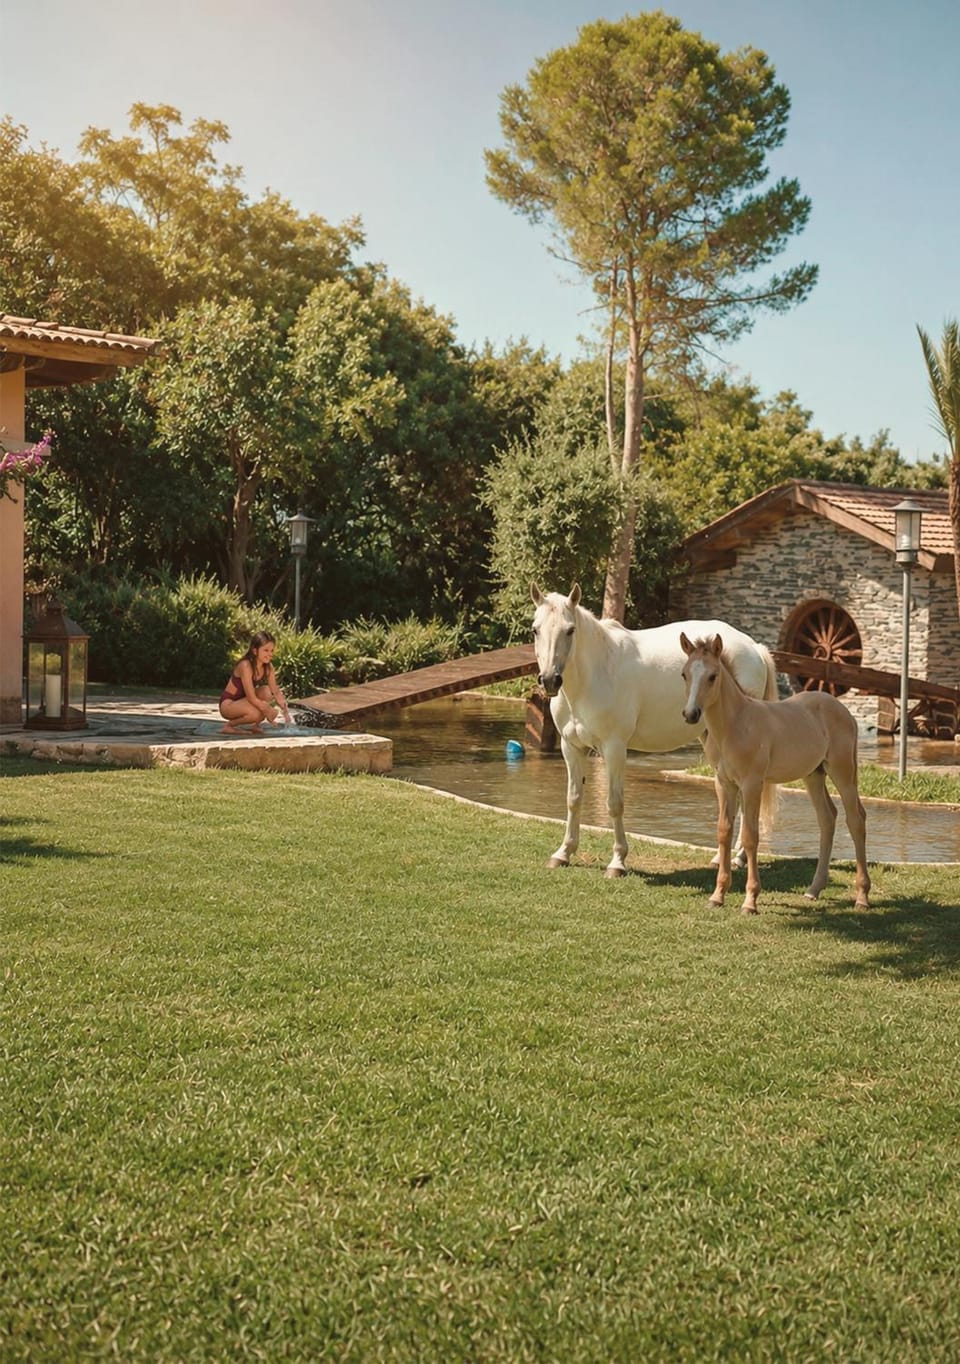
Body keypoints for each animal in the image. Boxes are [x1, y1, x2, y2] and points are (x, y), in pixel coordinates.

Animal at [530, 583, 778, 877]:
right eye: (535, 629)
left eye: (570, 630)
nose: (549, 680)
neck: (596, 674)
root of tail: (754, 648)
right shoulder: (571, 747)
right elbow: (573, 799)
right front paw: (563, 853)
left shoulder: (614, 748)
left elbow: (614, 804)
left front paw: (617, 862)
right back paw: (723, 858)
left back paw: (738, 859)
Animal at [680, 632, 870, 914]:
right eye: (684, 674)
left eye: (713, 676)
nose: (691, 714)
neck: (735, 725)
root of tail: (843, 710)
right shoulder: (723, 782)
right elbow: (724, 832)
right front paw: (717, 896)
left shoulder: (752, 783)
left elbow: (750, 836)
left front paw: (750, 901)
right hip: (814, 774)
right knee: (828, 818)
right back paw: (813, 889)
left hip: (843, 770)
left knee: (856, 819)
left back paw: (862, 896)